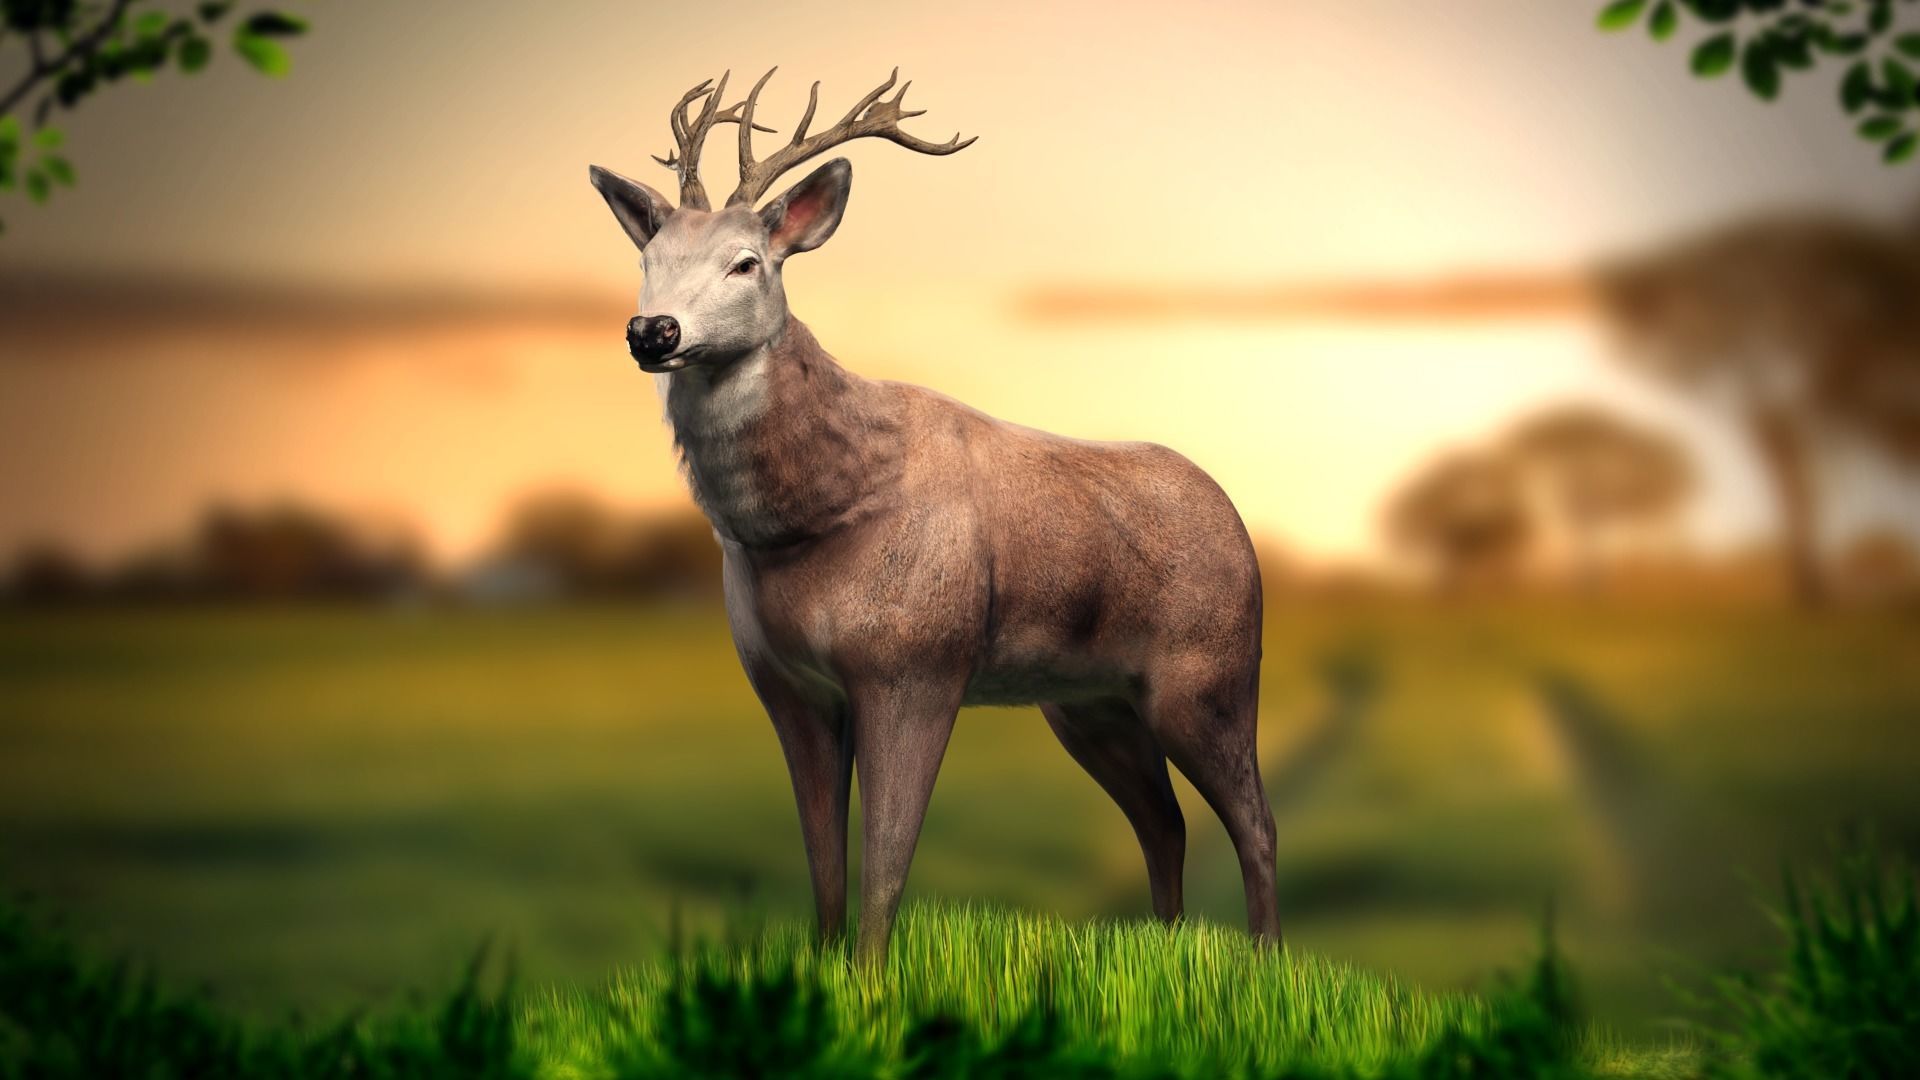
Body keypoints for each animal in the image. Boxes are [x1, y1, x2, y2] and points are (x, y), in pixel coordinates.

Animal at [589, 69, 1279, 961]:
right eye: (649, 258)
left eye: (746, 262)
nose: (653, 330)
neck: (816, 519)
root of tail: (1239, 523)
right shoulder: (784, 682)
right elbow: (825, 870)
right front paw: (824, 974)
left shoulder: (915, 662)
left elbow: (886, 867)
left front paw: (872, 985)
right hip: (1089, 701)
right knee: (1163, 824)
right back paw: (1168, 947)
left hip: (1209, 674)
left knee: (1255, 823)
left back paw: (1267, 966)